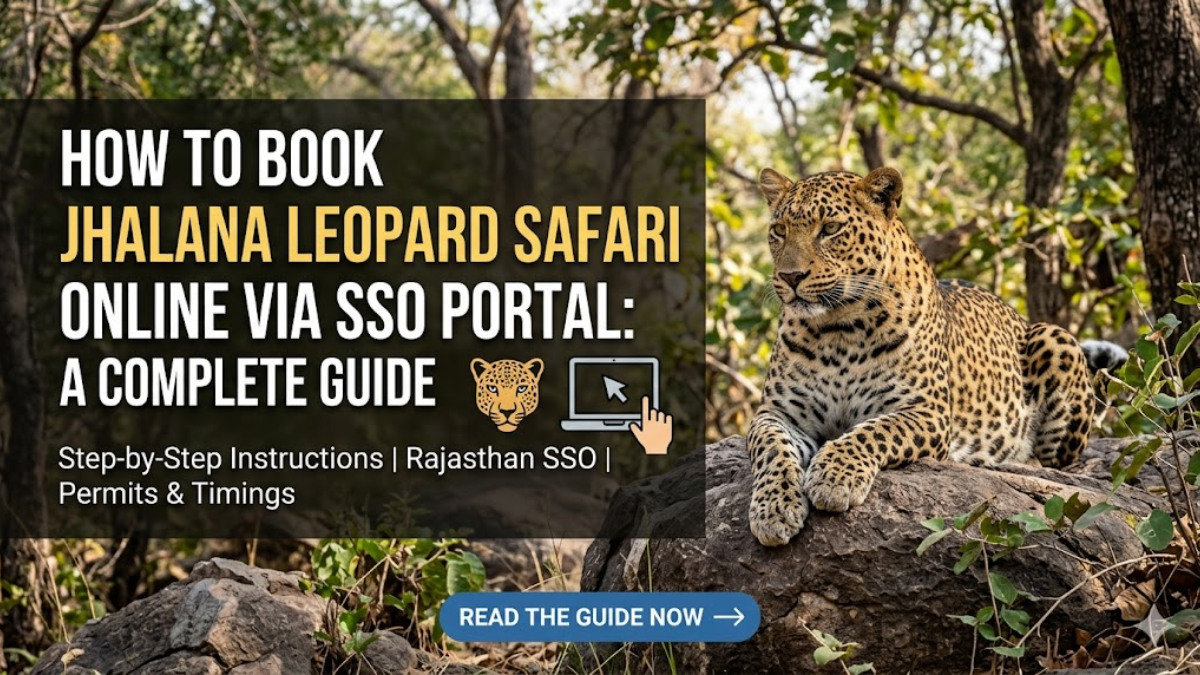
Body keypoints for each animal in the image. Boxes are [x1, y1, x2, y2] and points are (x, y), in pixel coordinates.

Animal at [747, 166, 1127, 547]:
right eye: (779, 231)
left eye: (830, 229)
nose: (790, 276)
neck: (836, 328)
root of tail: (1018, 317)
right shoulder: (777, 413)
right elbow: (771, 449)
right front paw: (773, 508)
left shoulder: (926, 411)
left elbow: (872, 432)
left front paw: (834, 476)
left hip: (1057, 340)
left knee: (1056, 463)